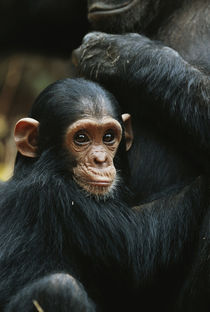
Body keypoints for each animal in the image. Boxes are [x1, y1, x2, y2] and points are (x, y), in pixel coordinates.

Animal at [0, 76, 207, 312]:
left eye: (108, 137)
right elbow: (137, 242)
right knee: (60, 288)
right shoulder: (59, 195)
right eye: (81, 138)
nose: (100, 160)